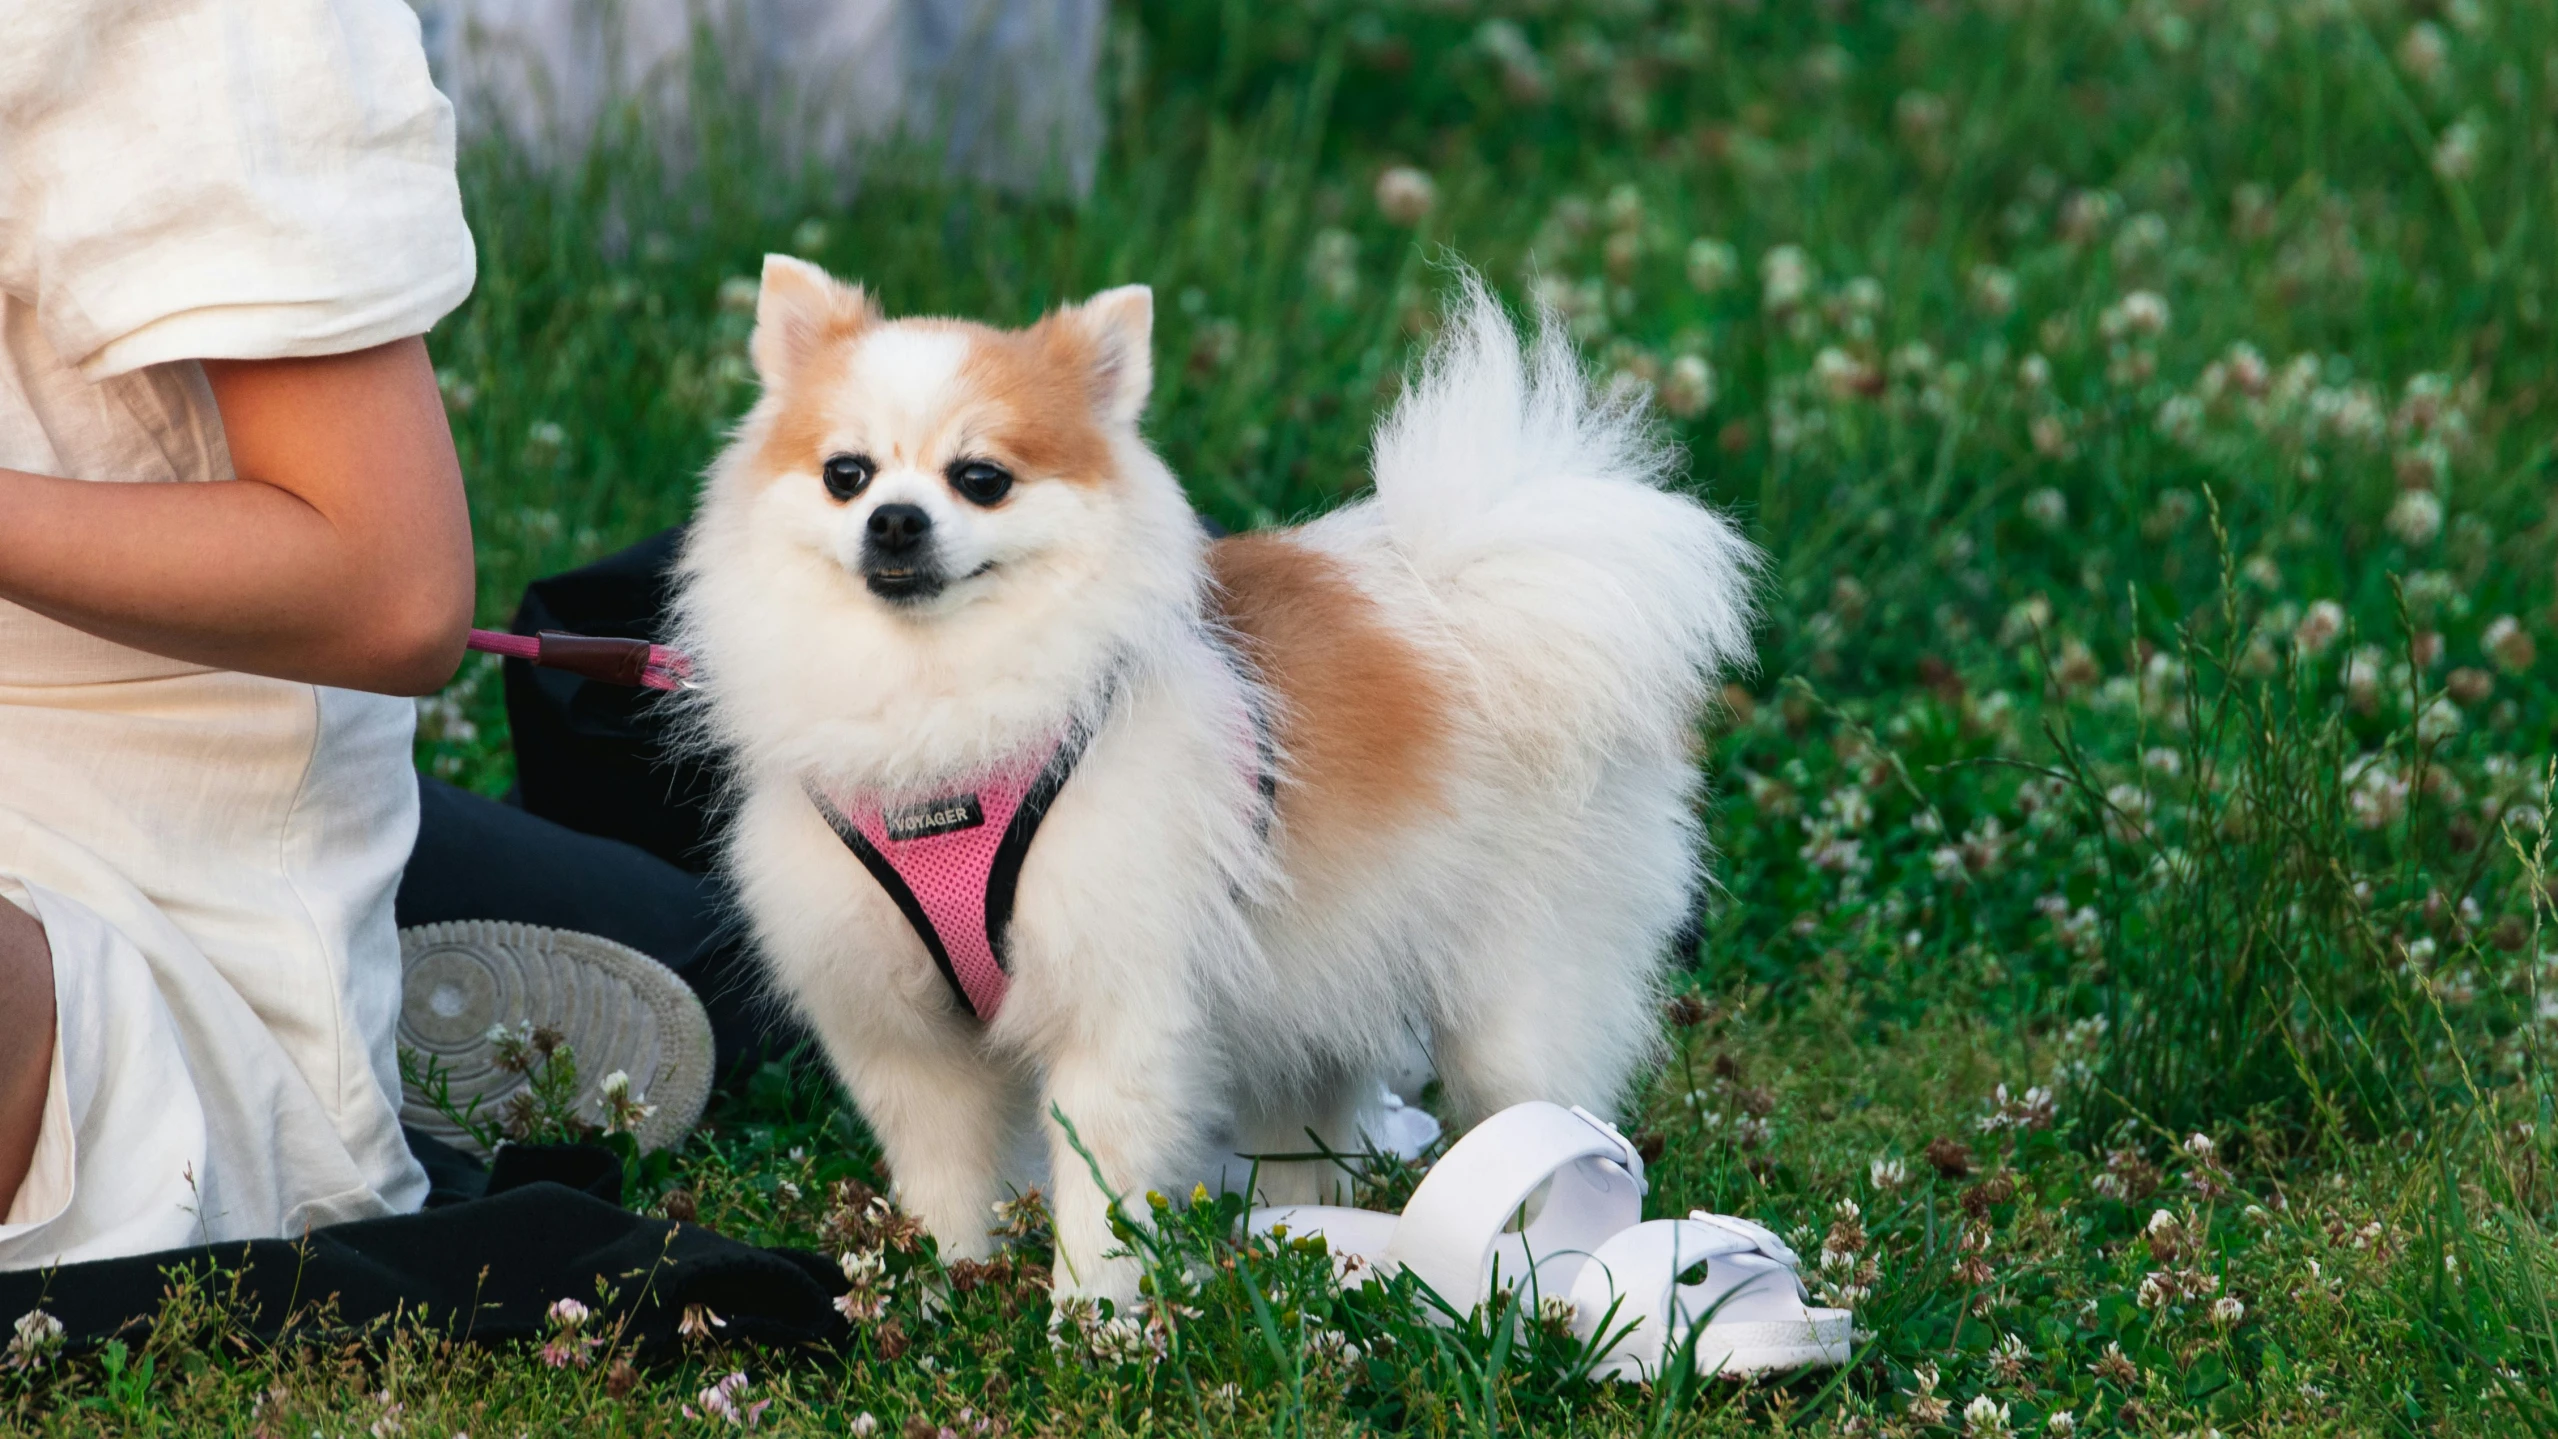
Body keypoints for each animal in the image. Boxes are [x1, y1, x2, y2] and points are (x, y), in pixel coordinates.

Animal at [675, 259, 1759, 1308]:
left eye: (981, 479)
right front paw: (940, 1290)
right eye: (845, 475)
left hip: (1516, 1005)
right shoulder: (903, 1031)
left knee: (1540, 1111)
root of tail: (1474, 589)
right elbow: (944, 1177)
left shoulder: (1119, 1005)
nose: (895, 520)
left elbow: (1099, 1195)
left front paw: (1091, 1325)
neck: (939, 717)